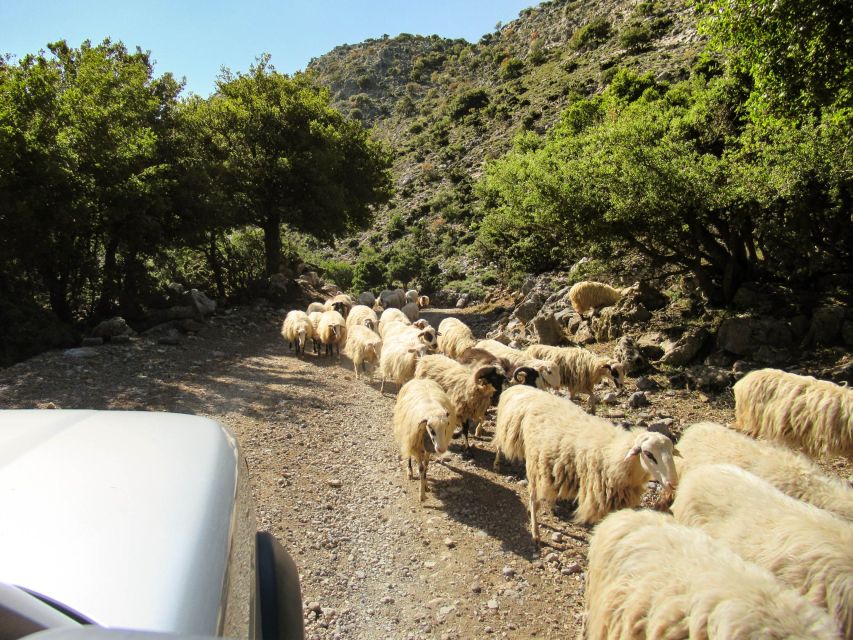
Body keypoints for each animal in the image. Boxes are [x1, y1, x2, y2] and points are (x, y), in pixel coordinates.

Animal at [392, 376, 460, 504]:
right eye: (430, 427)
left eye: (447, 425)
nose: (441, 449)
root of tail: (420, 379)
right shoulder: (416, 445)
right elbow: (421, 468)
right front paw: (422, 494)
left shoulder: (428, 448)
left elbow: (426, 465)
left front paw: (426, 484)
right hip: (408, 435)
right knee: (409, 455)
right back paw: (410, 471)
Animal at [492, 384, 680, 540]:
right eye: (648, 454)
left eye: (672, 452)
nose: (673, 483)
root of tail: (521, 389)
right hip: (533, 460)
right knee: (531, 496)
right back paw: (535, 531)